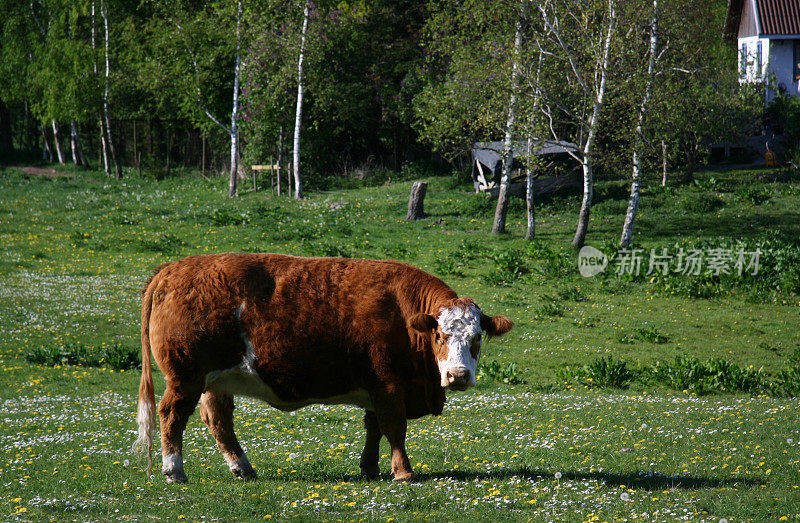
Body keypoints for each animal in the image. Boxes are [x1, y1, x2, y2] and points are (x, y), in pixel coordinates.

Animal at [133, 254, 512, 484]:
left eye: (477, 337)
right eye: (439, 335)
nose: (458, 376)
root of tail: (172, 270)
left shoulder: (375, 387)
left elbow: (374, 426)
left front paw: (370, 467)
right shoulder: (389, 385)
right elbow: (394, 427)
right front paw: (403, 472)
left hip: (218, 380)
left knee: (218, 421)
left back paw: (243, 468)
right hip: (185, 377)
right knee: (171, 414)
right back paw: (174, 469)